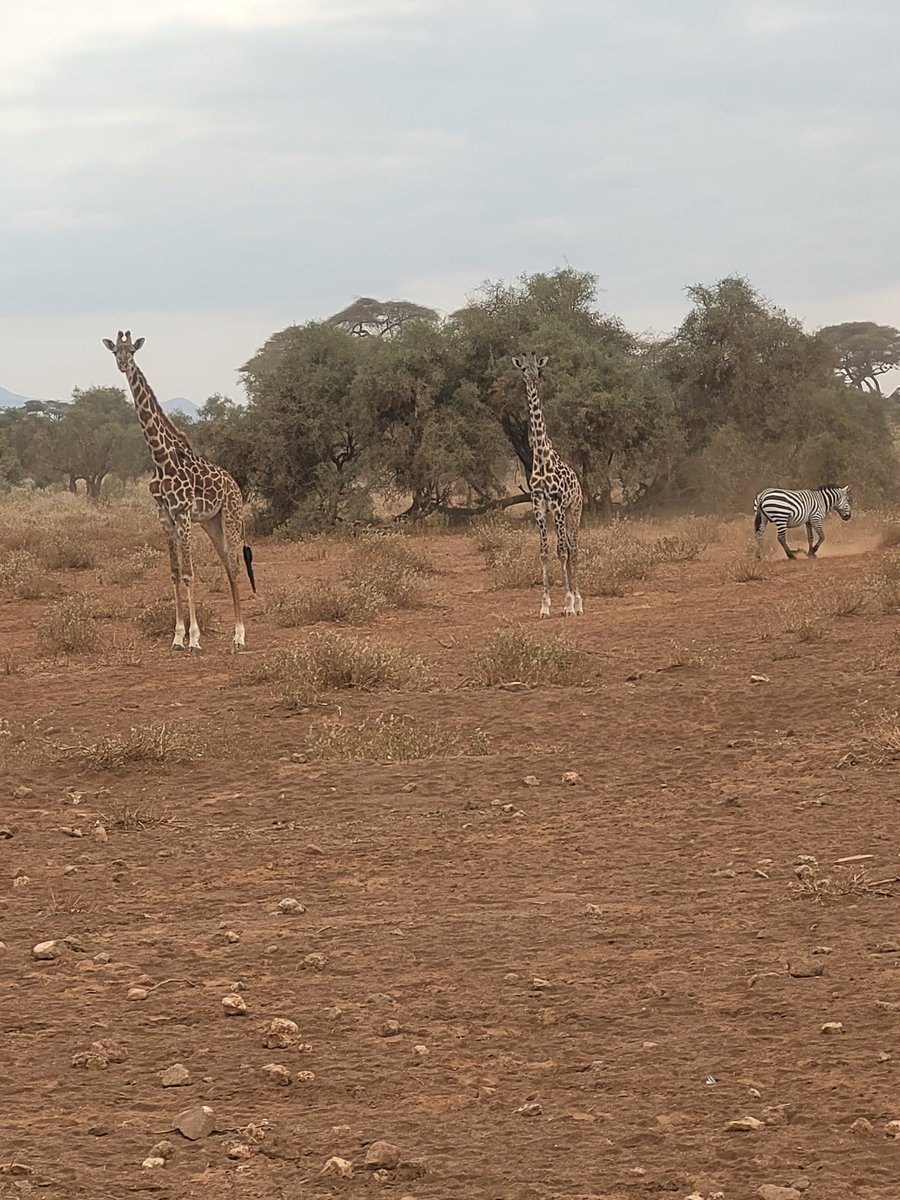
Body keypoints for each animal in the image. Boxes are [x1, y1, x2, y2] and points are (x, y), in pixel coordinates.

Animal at [103, 331, 256, 652]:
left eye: (132, 351)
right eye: (115, 351)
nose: (123, 364)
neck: (160, 459)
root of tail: (234, 484)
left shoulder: (183, 514)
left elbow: (188, 573)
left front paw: (194, 638)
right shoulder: (165, 517)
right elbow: (174, 574)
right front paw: (176, 637)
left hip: (231, 516)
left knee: (236, 565)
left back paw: (239, 636)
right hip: (211, 523)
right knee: (227, 564)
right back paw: (234, 634)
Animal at [512, 352, 583, 618]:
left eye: (538, 369)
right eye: (524, 369)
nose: (533, 379)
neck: (541, 459)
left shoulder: (558, 506)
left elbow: (562, 551)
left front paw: (569, 604)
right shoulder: (539, 508)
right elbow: (543, 552)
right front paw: (545, 606)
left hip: (575, 510)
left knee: (574, 548)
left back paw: (579, 602)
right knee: (570, 547)